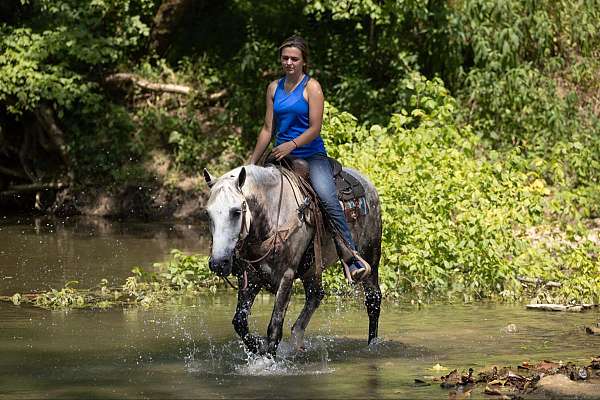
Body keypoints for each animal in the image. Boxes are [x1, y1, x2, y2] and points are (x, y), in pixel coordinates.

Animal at [202, 163, 380, 356]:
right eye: (208, 214)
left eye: (235, 212)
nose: (219, 263)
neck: (273, 216)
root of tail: (367, 181)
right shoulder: (251, 276)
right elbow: (240, 322)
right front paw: (259, 346)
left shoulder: (286, 275)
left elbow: (275, 327)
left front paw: (267, 358)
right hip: (312, 268)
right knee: (315, 295)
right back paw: (297, 340)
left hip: (370, 253)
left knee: (373, 298)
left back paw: (373, 344)